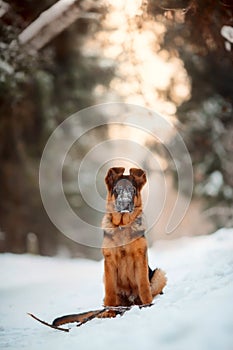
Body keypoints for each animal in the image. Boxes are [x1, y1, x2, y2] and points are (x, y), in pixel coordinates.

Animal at [102, 168, 167, 308]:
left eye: (132, 189)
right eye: (117, 189)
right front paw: (109, 310)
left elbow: (144, 286)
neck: (123, 226)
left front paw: (148, 304)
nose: (125, 203)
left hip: (159, 275)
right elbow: (110, 290)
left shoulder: (140, 257)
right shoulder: (109, 261)